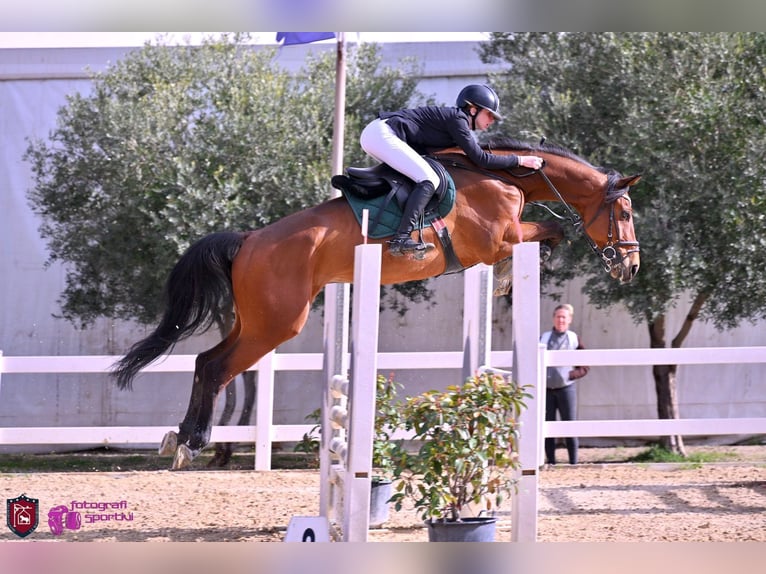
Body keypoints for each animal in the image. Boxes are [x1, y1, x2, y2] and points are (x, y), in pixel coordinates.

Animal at [111, 138, 641, 469]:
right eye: (625, 212)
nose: (630, 267)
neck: (503, 177)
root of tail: (248, 239)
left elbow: (548, 233)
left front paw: (512, 276)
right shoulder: (497, 240)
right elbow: (549, 231)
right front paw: (514, 273)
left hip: (255, 321)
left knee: (205, 361)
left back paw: (179, 439)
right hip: (276, 325)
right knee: (219, 367)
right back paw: (194, 442)